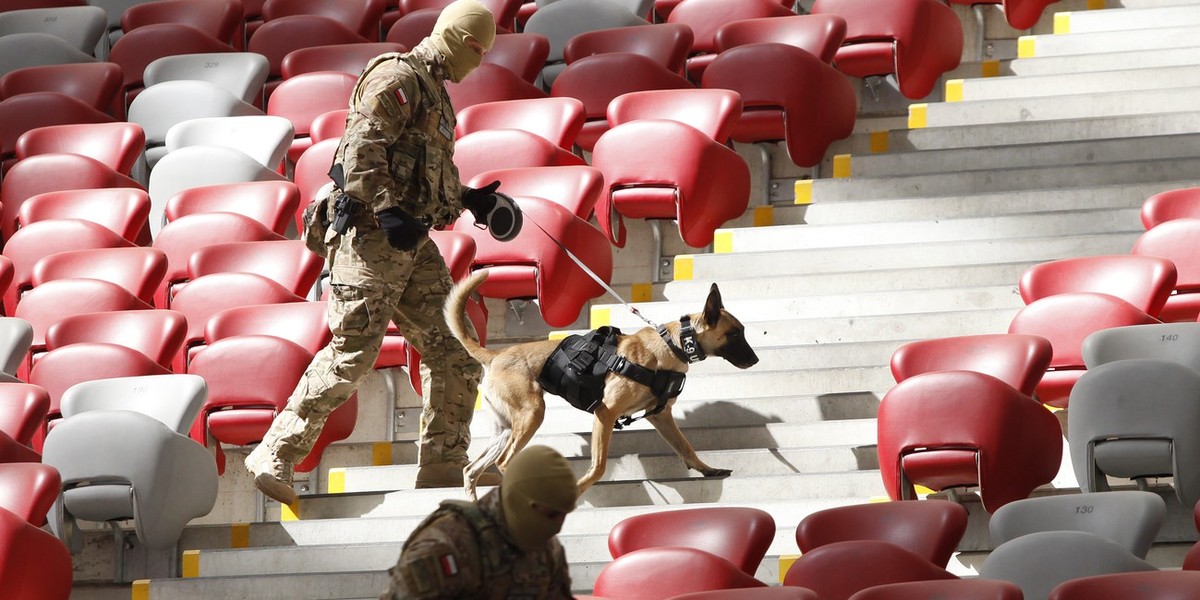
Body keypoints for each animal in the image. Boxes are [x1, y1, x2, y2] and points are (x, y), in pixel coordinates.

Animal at [446, 270, 753, 499]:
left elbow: (686, 447)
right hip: (532, 414)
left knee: (471, 470)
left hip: (505, 428)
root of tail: (495, 355)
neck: (670, 345)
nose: (755, 359)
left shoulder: (661, 416)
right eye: (735, 334)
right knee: (504, 462)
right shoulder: (605, 415)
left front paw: (706, 469)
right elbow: (598, 467)